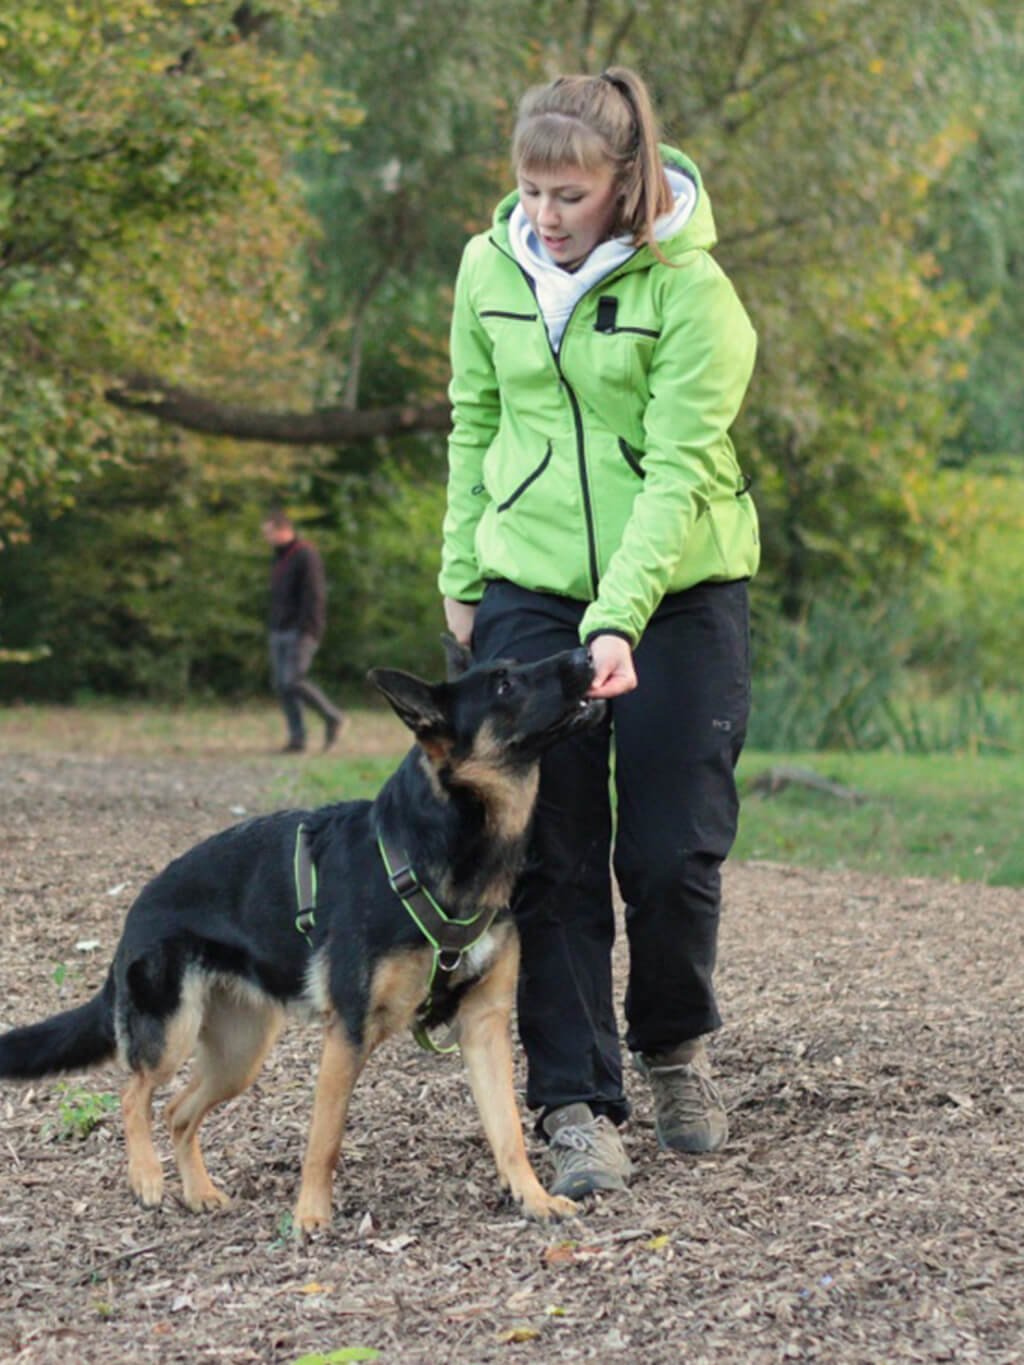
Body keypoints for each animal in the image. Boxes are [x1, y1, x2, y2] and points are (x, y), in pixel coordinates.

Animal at [0, 644, 606, 1233]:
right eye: (505, 683)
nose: (588, 653)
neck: (444, 845)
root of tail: (139, 906)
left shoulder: (483, 1026)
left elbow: (509, 1130)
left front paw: (534, 1198)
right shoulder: (349, 1031)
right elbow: (325, 1137)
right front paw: (311, 1215)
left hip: (239, 1055)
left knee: (177, 1111)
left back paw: (199, 1193)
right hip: (171, 1033)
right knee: (133, 1093)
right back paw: (146, 1176)